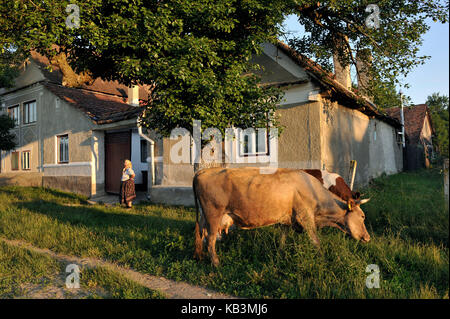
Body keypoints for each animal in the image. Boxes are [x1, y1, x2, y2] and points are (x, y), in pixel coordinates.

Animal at [192, 168, 370, 268]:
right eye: (362, 216)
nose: (368, 238)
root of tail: (202, 172)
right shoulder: (305, 216)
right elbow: (315, 241)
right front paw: (323, 259)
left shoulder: (287, 219)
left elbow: (282, 240)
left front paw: (279, 256)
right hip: (213, 214)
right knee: (211, 239)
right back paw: (216, 264)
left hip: (204, 215)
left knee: (200, 234)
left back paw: (199, 256)